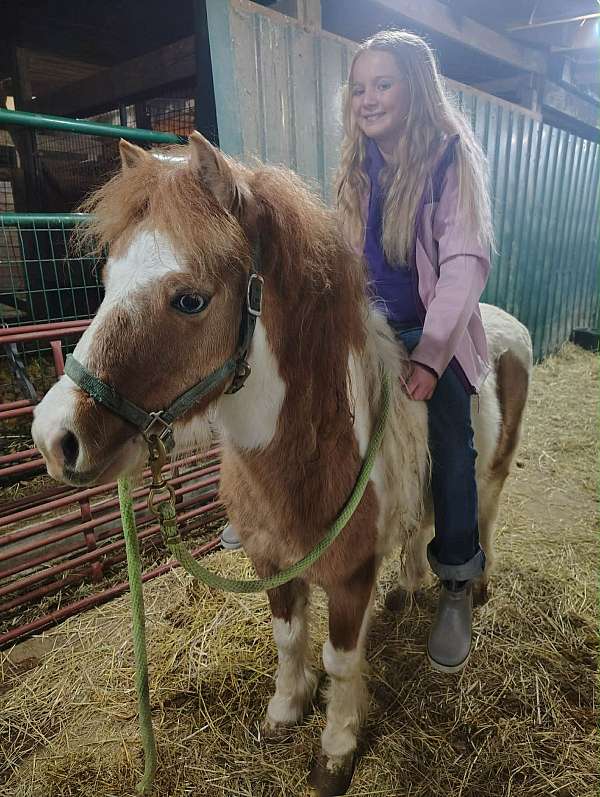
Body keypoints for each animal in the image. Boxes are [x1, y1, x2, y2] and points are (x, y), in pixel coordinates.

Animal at [32, 132, 532, 796]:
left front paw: (336, 750)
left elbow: (341, 661)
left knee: (482, 521)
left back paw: (470, 592)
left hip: (492, 475)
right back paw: (406, 591)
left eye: (189, 300)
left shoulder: (349, 579)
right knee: (418, 531)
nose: (53, 438)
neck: (309, 456)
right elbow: (289, 636)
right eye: (109, 279)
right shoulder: (271, 562)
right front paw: (285, 709)